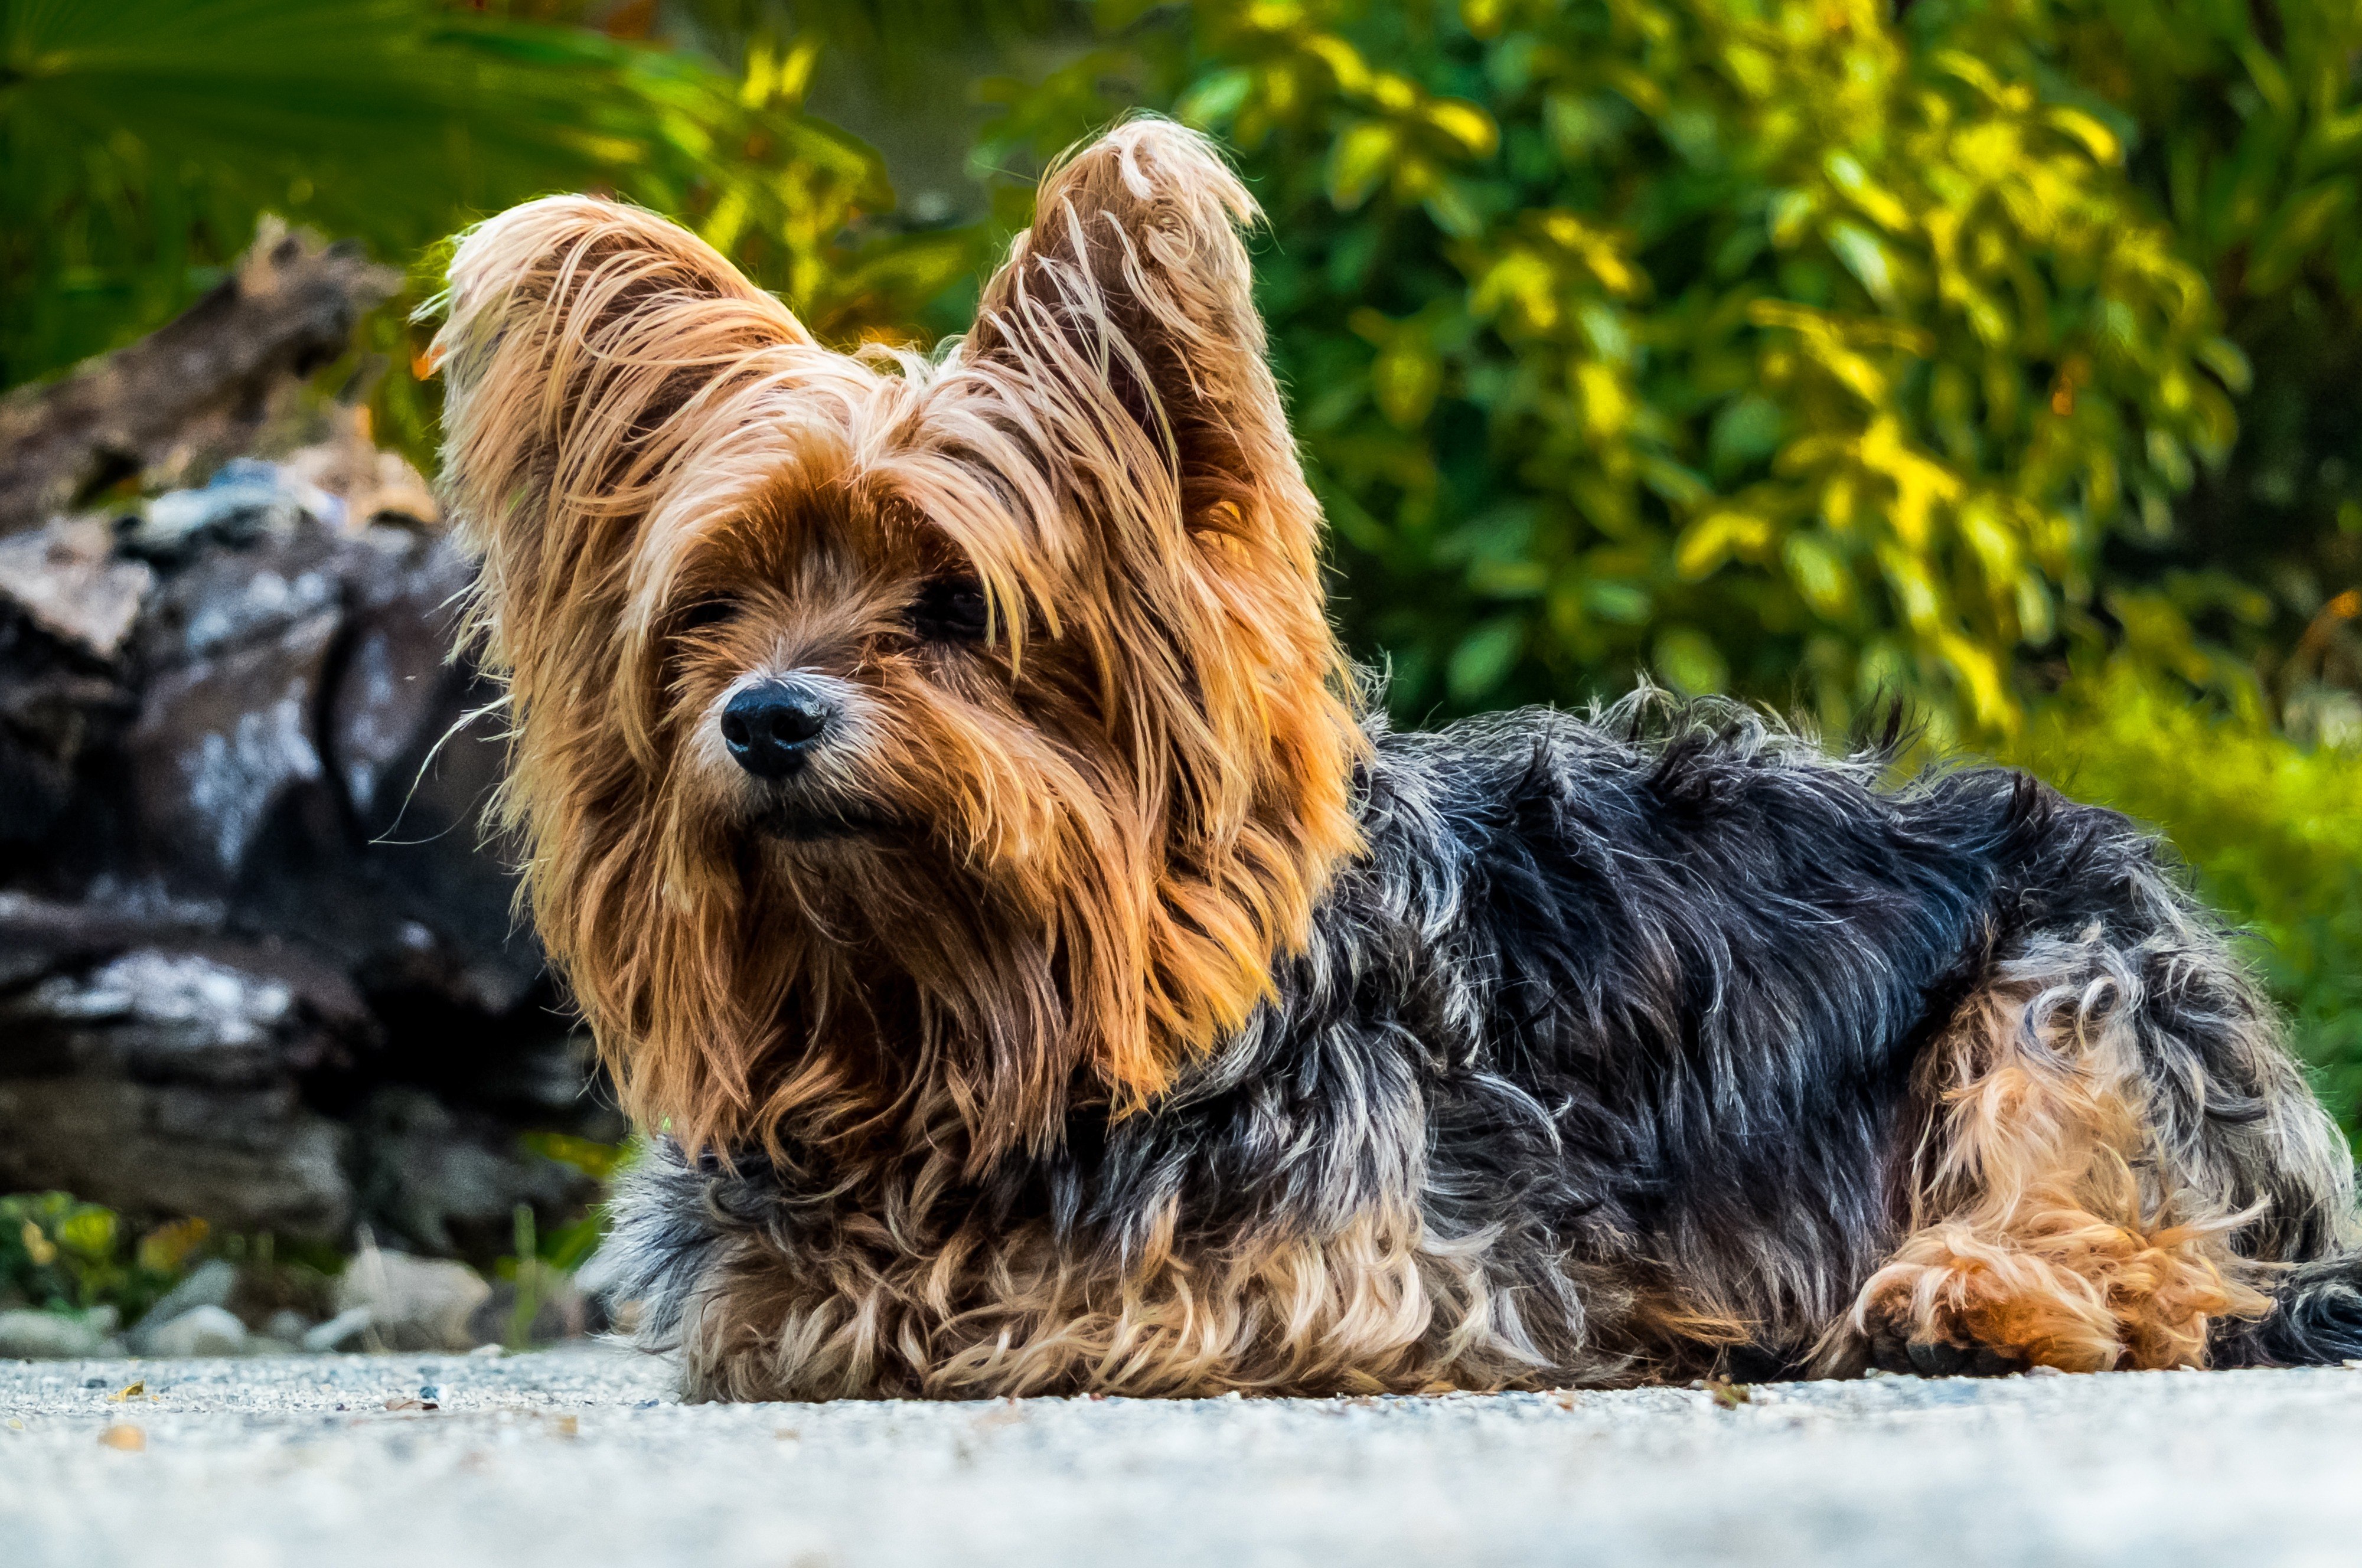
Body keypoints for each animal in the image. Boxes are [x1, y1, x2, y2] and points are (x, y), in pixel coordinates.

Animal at [435, 119, 2362, 1398]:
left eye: (957, 602)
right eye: (717, 605)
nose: (763, 717)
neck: (954, 1010)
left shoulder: (1352, 1266)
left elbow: (1092, 1298)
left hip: (2072, 988)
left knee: (2139, 1240)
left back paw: (1961, 1291)